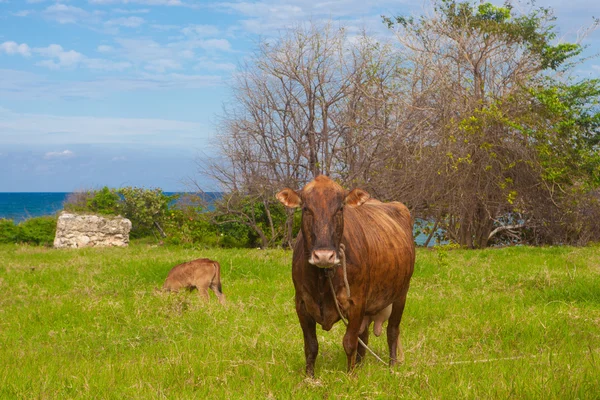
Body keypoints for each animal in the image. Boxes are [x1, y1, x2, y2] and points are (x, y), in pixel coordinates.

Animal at [278, 174, 414, 376]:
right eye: (306, 209)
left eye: (340, 209)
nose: (324, 255)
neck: (323, 279)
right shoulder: (301, 304)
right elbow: (311, 346)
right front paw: (309, 377)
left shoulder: (356, 302)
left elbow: (349, 342)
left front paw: (351, 376)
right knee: (364, 336)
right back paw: (360, 365)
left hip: (400, 294)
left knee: (392, 331)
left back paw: (391, 366)